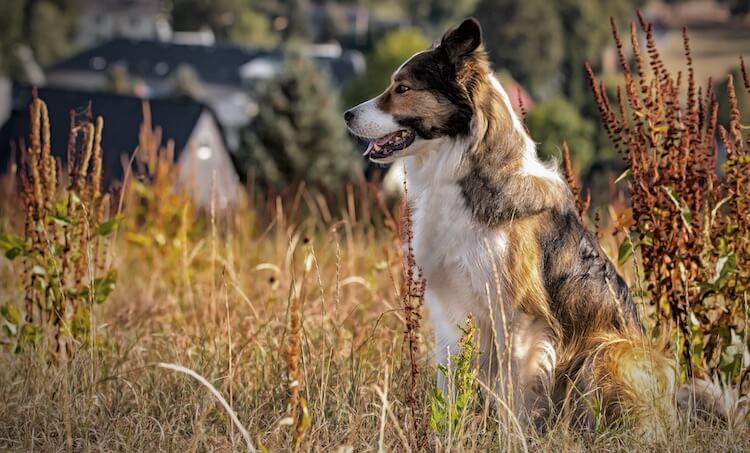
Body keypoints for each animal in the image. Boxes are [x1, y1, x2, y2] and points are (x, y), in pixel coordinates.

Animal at [346, 19, 680, 432]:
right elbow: (448, 383)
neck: (467, 174)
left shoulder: (520, 317)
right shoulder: (450, 311)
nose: (346, 115)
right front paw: (445, 430)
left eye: (403, 89)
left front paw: (510, 436)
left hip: (608, 351)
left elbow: (513, 392)